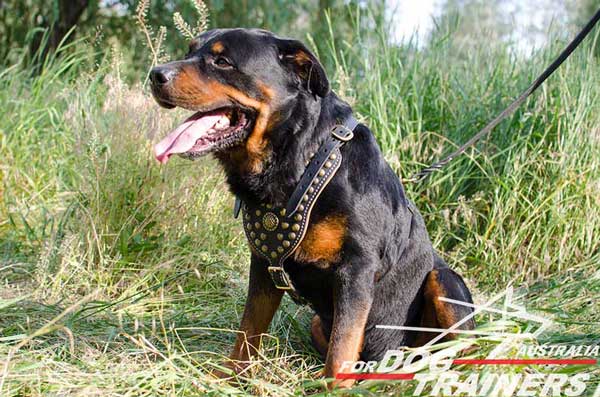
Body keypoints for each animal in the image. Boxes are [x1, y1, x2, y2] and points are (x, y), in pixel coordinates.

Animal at [149, 27, 474, 386]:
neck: (304, 160)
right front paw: (228, 379)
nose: (155, 74)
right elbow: (248, 330)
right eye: (189, 51)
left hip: (447, 282)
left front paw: (333, 389)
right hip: (319, 322)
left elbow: (342, 346)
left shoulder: (356, 269)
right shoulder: (263, 264)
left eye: (222, 61)